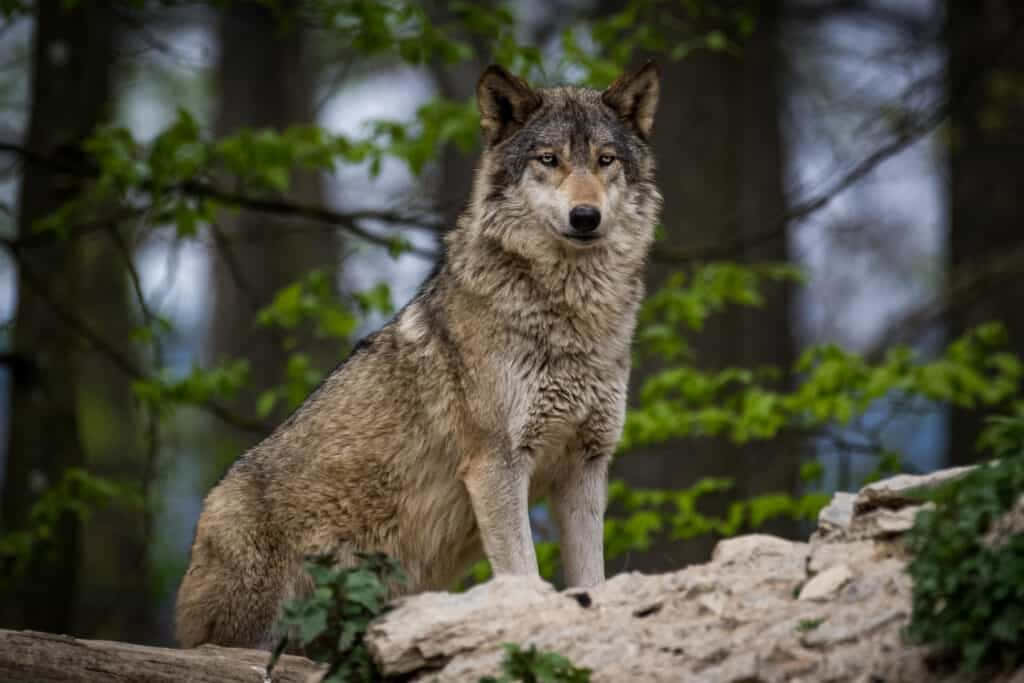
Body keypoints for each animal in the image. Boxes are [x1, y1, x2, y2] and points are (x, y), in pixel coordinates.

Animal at [176, 61, 663, 651]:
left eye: (605, 159)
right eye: (549, 160)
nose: (585, 215)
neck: (570, 316)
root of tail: (204, 516)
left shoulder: (585, 468)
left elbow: (593, 579)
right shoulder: (497, 465)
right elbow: (523, 575)